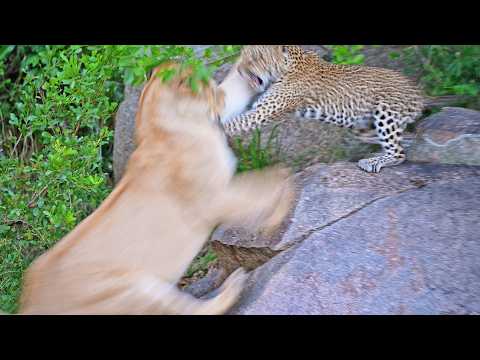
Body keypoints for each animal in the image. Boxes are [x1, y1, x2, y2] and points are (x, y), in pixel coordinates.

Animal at [218, 45, 424, 173]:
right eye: (244, 56)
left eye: (256, 58)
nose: (240, 71)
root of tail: (418, 93)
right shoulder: (260, 107)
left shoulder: (263, 111)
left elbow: (233, 124)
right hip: (362, 127)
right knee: (399, 141)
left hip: (385, 113)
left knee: (399, 153)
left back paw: (371, 162)